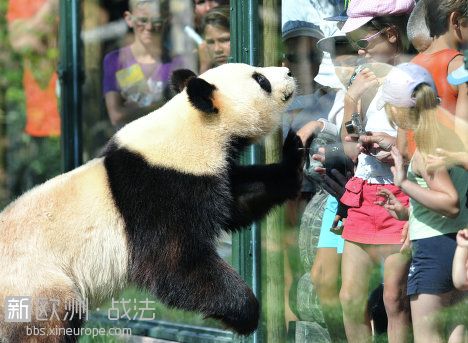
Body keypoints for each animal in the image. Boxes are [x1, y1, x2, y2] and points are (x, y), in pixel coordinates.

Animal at [0, 63, 304, 342]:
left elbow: (237, 200)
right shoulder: (160, 191)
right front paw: (244, 313)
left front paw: (296, 156)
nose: (289, 71)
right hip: (35, 283)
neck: (194, 129)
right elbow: (173, 264)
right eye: (261, 79)